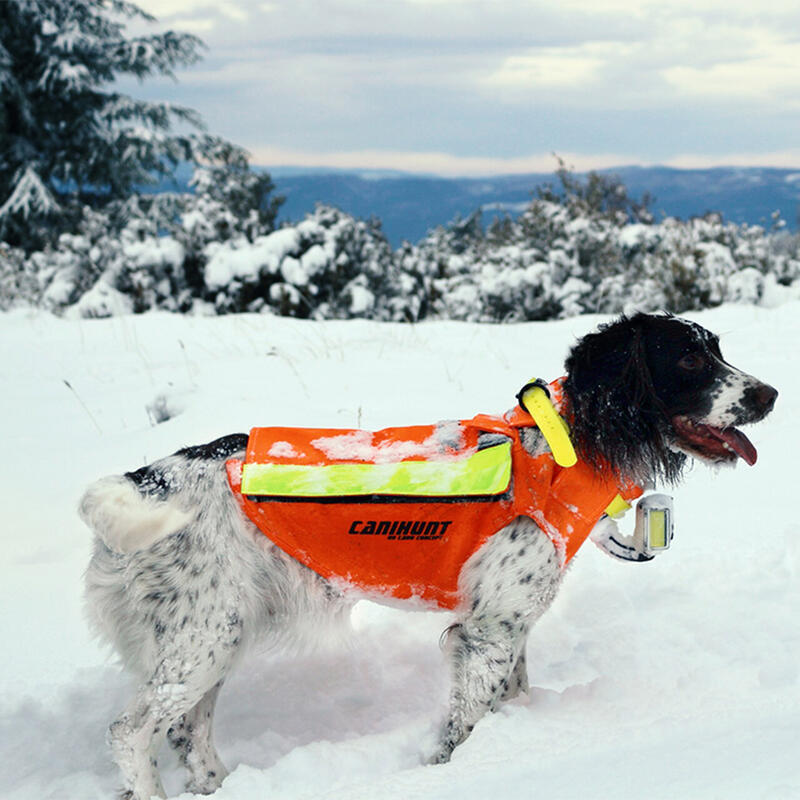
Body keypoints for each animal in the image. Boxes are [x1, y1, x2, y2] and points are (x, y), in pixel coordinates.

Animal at [79, 314, 776, 800]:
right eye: (688, 357)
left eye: (716, 348)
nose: (769, 394)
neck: (564, 448)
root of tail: (142, 480)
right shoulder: (486, 634)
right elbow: (460, 728)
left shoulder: (509, 625)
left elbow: (508, 699)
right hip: (202, 637)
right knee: (131, 731)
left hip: (215, 635)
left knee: (188, 731)